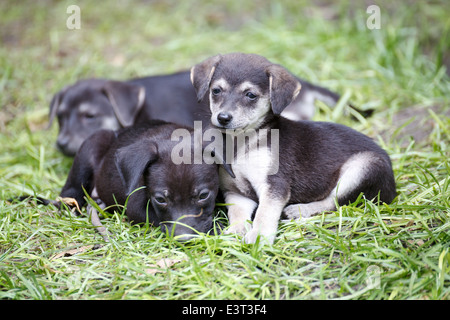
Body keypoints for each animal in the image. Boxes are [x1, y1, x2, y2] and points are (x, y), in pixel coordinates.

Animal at [59, 120, 234, 240]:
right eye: (160, 199)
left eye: (203, 196)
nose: (183, 238)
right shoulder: (136, 209)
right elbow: (154, 217)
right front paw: (215, 226)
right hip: (93, 142)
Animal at [192, 53, 396, 245]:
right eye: (216, 91)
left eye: (250, 95)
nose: (223, 118)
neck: (243, 144)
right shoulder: (236, 191)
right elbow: (237, 213)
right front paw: (236, 231)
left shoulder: (275, 185)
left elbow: (264, 214)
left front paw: (259, 237)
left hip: (364, 167)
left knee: (336, 202)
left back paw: (300, 210)